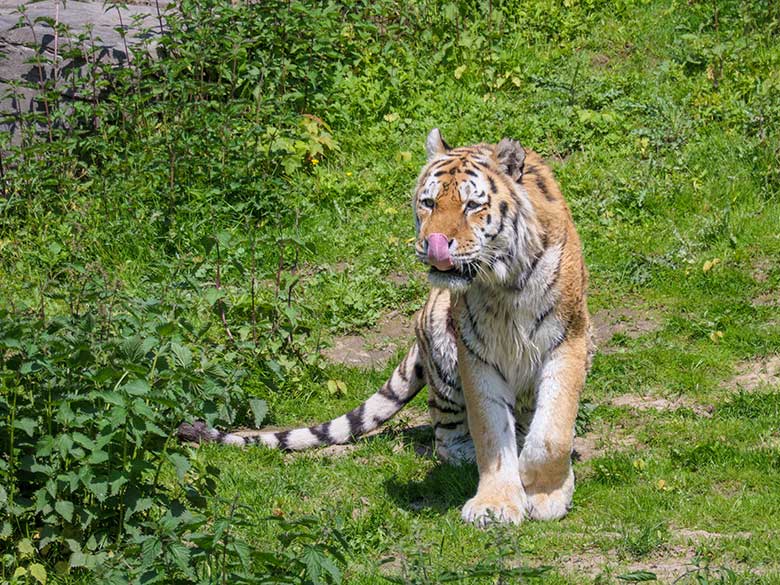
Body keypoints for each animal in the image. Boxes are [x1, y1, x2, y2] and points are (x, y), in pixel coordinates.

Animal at [178, 129, 592, 524]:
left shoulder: (568, 340)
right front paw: (496, 504)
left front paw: (545, 494)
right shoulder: (476, 353)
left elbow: (552, 432)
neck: (502, 284)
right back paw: (465, 455)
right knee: (445, 433)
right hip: (442, 344)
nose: (433, 243)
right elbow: (491, 434)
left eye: (473, 205)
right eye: (429, 203)